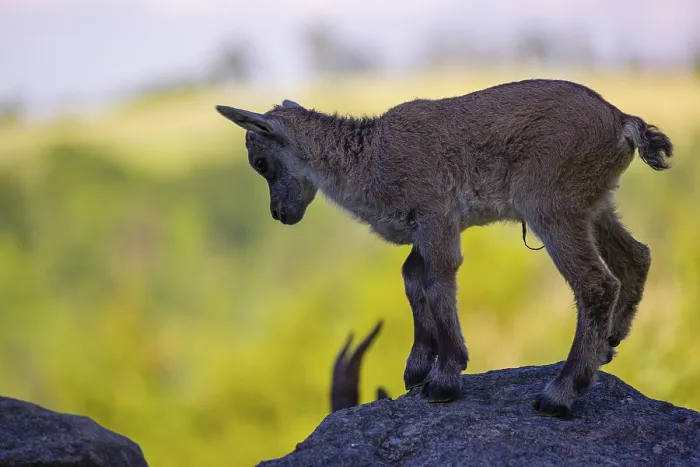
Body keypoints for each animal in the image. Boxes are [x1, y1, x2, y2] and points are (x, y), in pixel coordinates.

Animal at [215, 78, 673, 419]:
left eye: (260, 162)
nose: (280, 214)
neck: (369, 157)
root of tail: (622, 122)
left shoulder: (436, 215)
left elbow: (438, 278)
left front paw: (445, 377)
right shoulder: (426, 227)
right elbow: (412, 278)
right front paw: (418, 366)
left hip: (551, 205)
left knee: (596, 284)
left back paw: (559, 393)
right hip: (594, 204)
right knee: (636, 256)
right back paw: (610, 343)